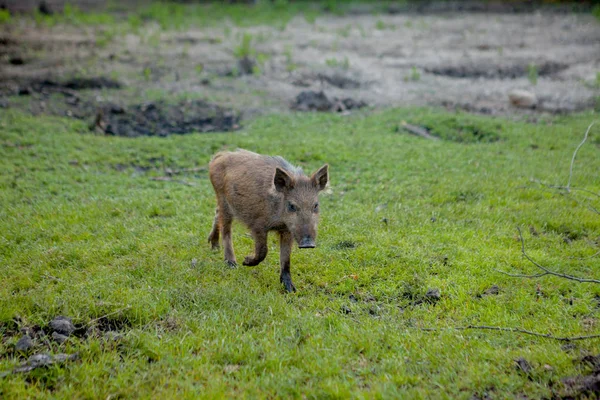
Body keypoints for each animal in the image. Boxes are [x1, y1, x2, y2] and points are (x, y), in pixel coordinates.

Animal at [206, 149, 328, 290]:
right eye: (292, 206)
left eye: (316, 205)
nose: (308, 244)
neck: (279, 219)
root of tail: (219, 156)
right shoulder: (257, 225)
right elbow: (263, 250)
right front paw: (246, 261)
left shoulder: (287, 231)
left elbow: (286, 258)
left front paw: (291, 289)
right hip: (223, 199)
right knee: (226, 230)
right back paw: (232, 264)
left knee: (217, 214)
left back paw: (214, 247)